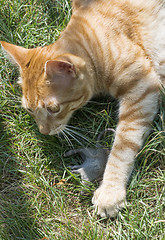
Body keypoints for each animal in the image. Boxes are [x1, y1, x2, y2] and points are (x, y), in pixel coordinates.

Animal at [0, 0, 164, 218]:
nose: (44, 132)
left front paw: (110, 192)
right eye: (30, 110)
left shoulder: (142, 87)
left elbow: (122, 146)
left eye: (53, 109)